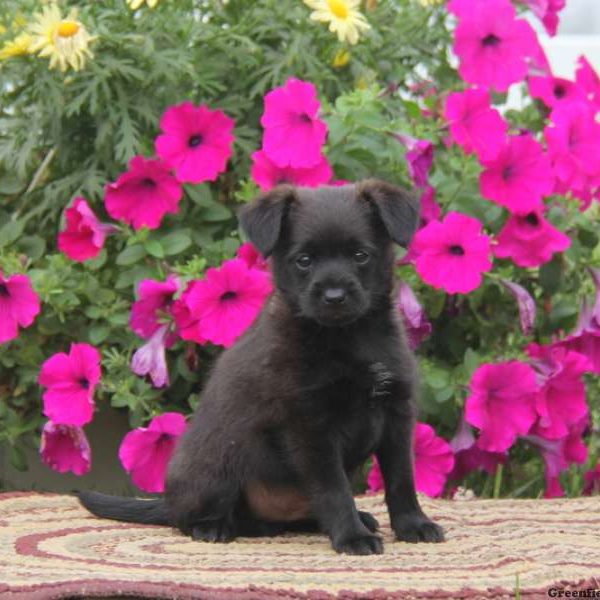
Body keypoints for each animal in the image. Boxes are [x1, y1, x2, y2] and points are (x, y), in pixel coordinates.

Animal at [78, 180, 446, 556]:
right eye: (304, 260)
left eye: (361, 256)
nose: (334, 296)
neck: (349, 337)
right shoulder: (311, 427)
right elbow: (334, 489)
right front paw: (352, 537)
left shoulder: (396, 413)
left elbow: (402, 479)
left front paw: (413, 525)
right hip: (217, 465)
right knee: (188, 518)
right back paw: (214, 527)